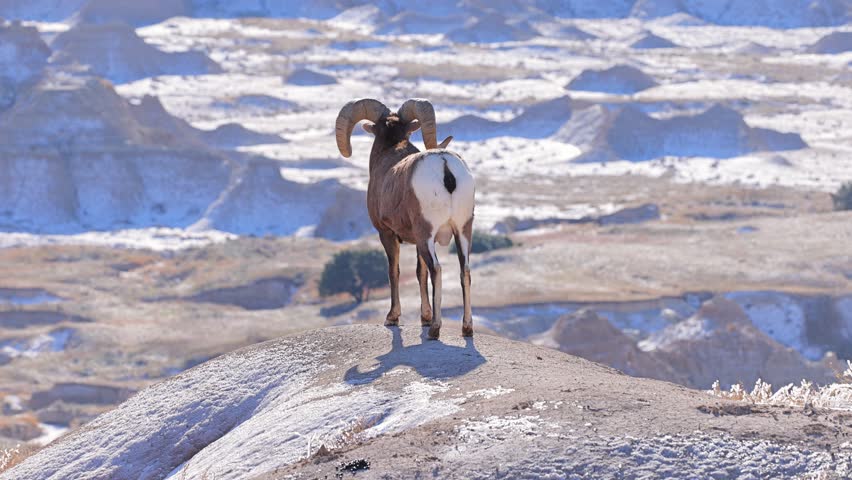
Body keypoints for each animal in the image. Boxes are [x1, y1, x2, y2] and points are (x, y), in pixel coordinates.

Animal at [335, 98, 475, 339]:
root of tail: (445, 165)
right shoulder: (416, 240)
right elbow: (420, 273)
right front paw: (424, 318)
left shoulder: (387, 233)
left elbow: (394, 271)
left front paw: (393, 317)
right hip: (462, 230)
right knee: (463, 270)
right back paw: (466, 328)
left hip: (426, 233)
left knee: (437, 269)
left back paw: (435, 329)